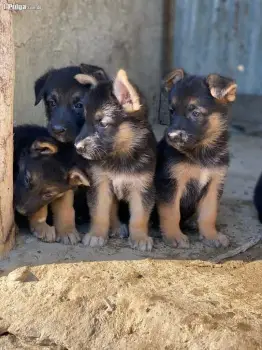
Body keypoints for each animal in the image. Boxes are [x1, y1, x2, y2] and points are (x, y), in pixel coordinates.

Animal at [73, 69, 157, 252]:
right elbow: (100, 212)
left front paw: (140, 237)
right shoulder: (100, 183)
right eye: (85, 119)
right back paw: (117, 227)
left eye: (102, 123)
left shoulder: (142, 186)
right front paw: (97, 234)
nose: (77, 147)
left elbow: (139, 216)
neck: (120, 155)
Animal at [156, 69, 237, 249]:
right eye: (171, 111)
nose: (171, 136)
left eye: (195, 113)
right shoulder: (171, 183)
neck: (201, 153)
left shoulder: (214, 183)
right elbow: (171, 212)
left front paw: (210, 235)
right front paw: (174, 235)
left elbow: (209, 213)